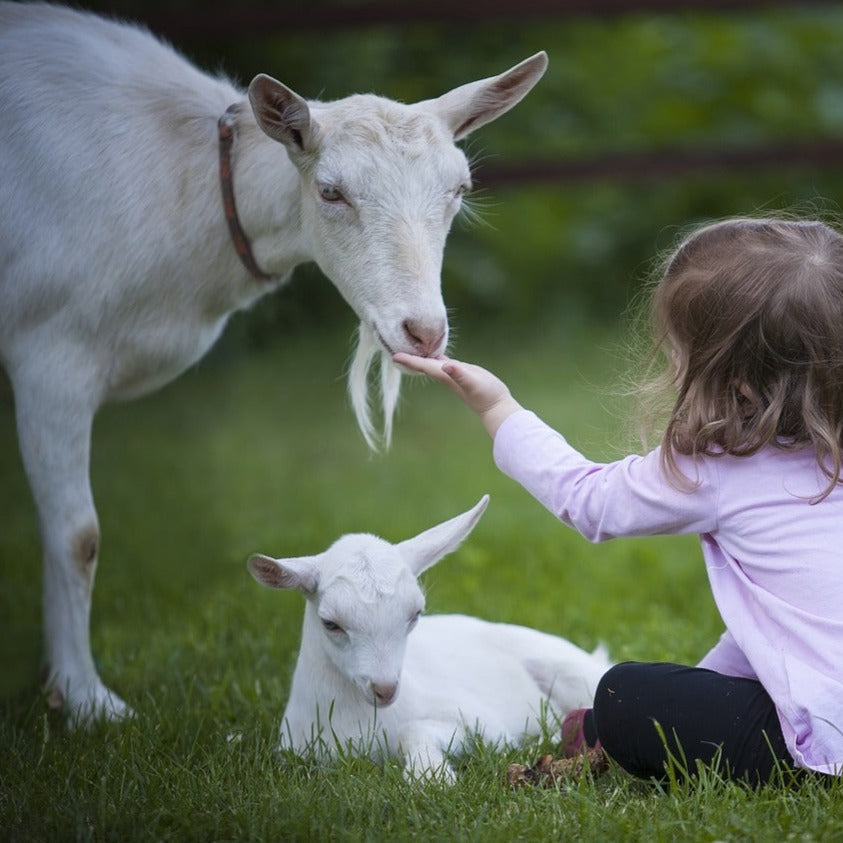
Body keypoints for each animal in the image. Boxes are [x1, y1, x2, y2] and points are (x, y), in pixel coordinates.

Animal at [0, 1, 548, 724]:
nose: (424, 332)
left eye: (459, 188)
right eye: (331, 191)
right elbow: (78, 535)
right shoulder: (51, 349)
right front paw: (88, 700)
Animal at [247, 494, 608, 784]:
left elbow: (415, 729)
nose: (385, 689)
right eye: (330, 623)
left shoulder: (485, 724)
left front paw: (430, 777)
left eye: (415, 614)